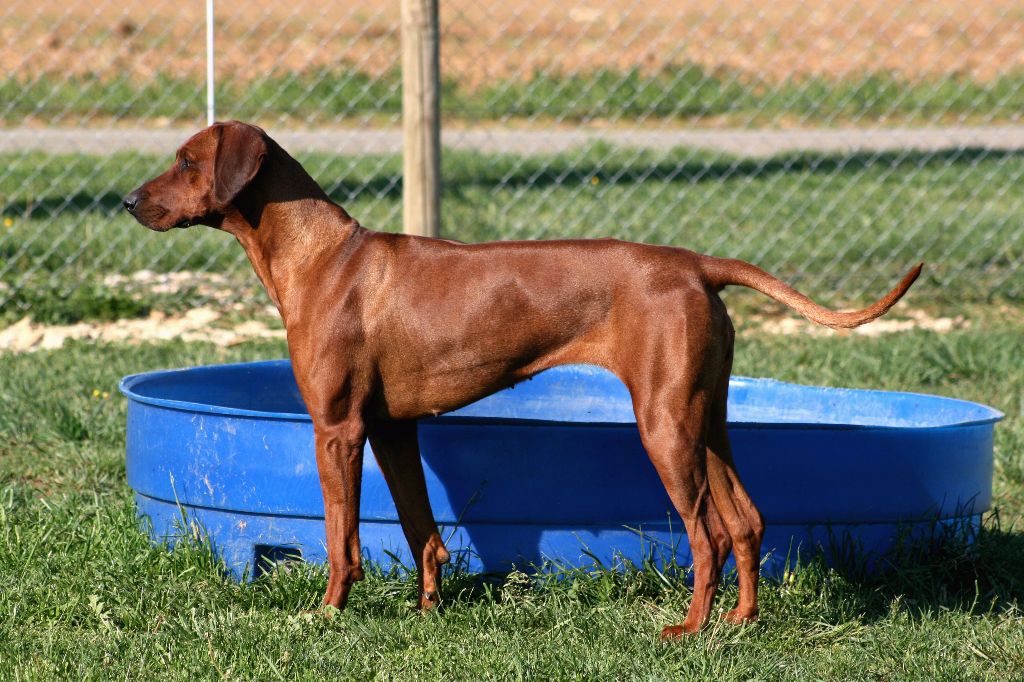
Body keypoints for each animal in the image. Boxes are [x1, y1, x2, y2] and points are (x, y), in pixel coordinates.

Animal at [123, 119, 925, 634]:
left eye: (187, 161)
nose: (128, 201)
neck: (321, 255)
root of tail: (696, 264)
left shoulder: (337, 429)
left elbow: (341, 538)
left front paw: (326, 615)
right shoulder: (392, 428)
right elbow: (421, 530)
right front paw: (427, 612)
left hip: (664, 426)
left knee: (708, 535)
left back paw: (690, 627)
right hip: (706, 420)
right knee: (747, 520)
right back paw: (740, 621)